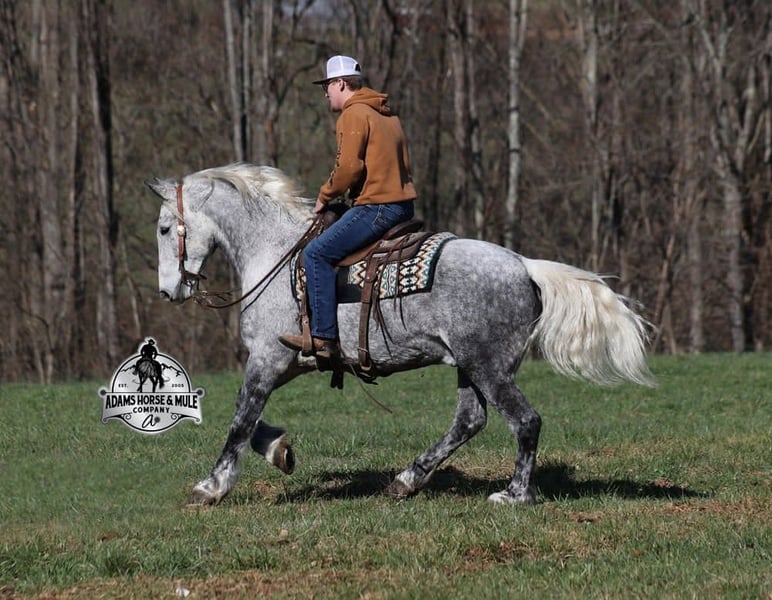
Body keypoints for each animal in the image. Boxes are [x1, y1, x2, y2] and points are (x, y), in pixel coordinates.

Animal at [146, 162, 653, 506]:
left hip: (489, 368)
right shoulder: (287, 362)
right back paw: (408, 479)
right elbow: (250, 419)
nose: (169, 290)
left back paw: (514, 494)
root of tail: (524, 266)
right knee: (469, 421)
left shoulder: (268, 358)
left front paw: (211, 486)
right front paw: (280, 451)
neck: (276, 254)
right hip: (469, 367)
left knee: (524, 421)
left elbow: (240, 419)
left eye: (165, 227)